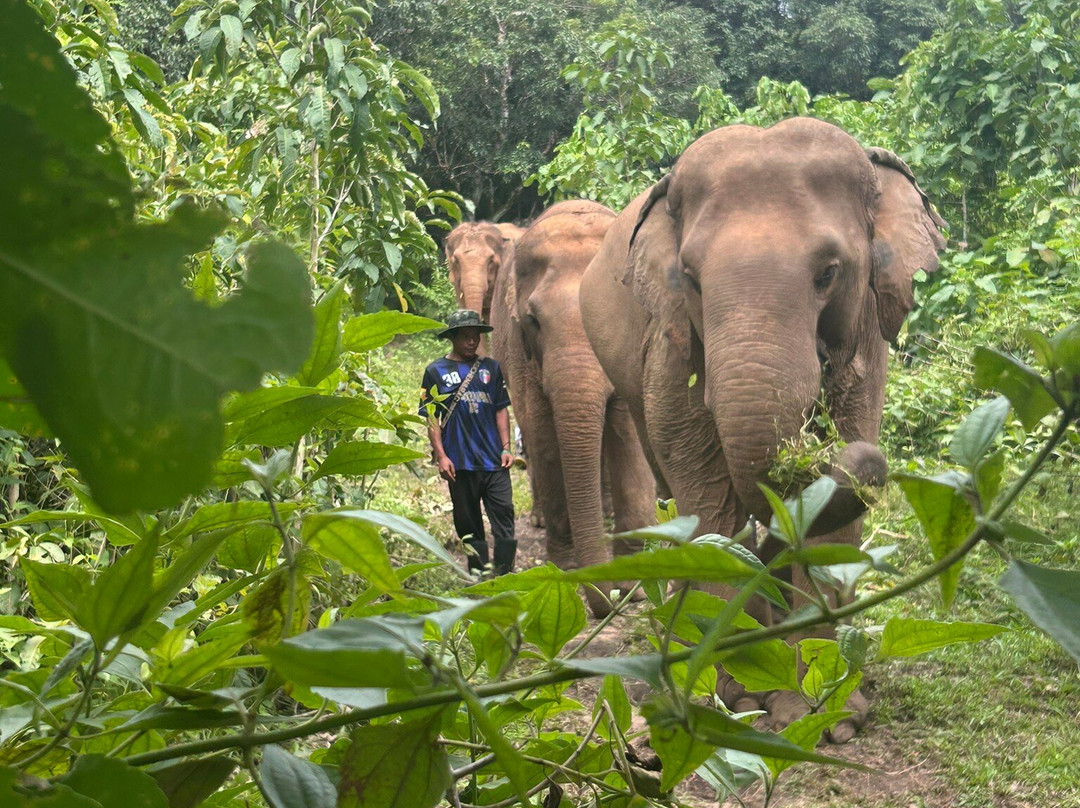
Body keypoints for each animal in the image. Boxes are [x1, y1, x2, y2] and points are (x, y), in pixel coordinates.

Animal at [491, 200, 656, 616]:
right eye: (533, 320)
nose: (610, 600)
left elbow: (627, 435)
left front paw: (635, 585)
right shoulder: (520, 350)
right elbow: (544, 436)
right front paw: (565, 572)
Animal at [579, 118, 946, 737]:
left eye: (829, 273)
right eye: (690, 279)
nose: (869, 463)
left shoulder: (866, 338)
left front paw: (827, 714)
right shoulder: (669, 343)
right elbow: (707, 489)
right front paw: (734, 697)